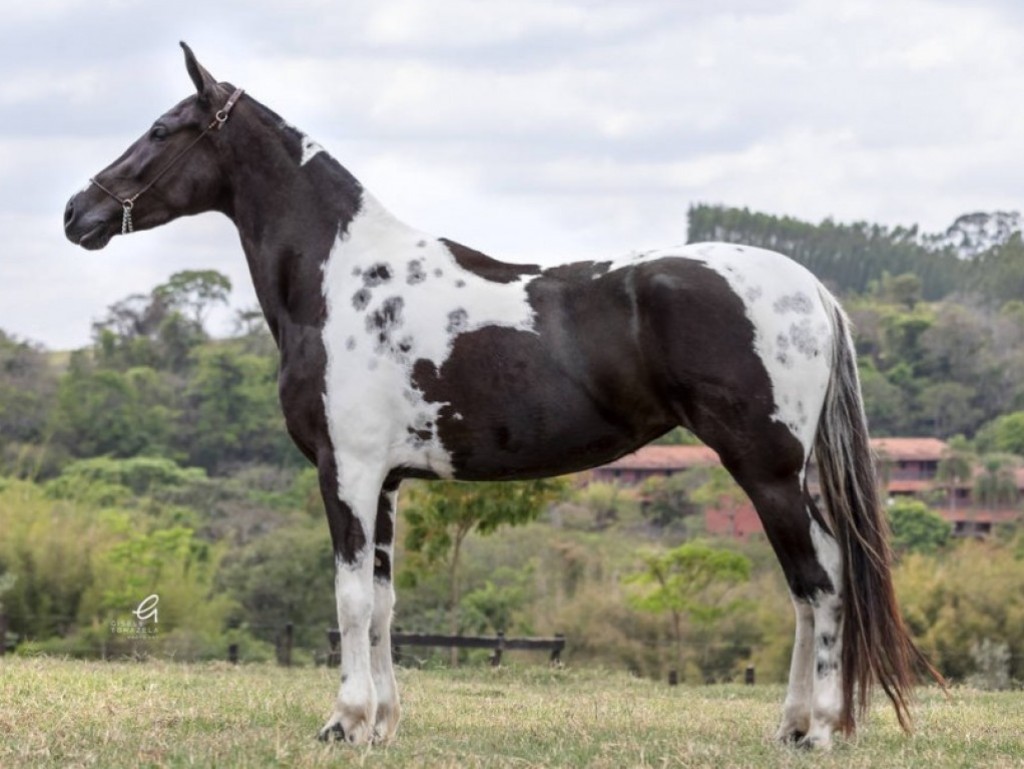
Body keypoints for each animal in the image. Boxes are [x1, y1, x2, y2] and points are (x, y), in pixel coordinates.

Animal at [64, 43, 937, 753]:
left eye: (163, 129)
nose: (80, 212)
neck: (348, 283)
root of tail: (812, 290)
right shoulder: (385, 481)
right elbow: (384, 603)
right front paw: (382, 723)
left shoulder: (346, 472)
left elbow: (349, 598)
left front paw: (344, 721)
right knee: (808, 586)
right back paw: (792, 723)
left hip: (766, 467)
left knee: (820, 580)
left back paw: (815, 729)